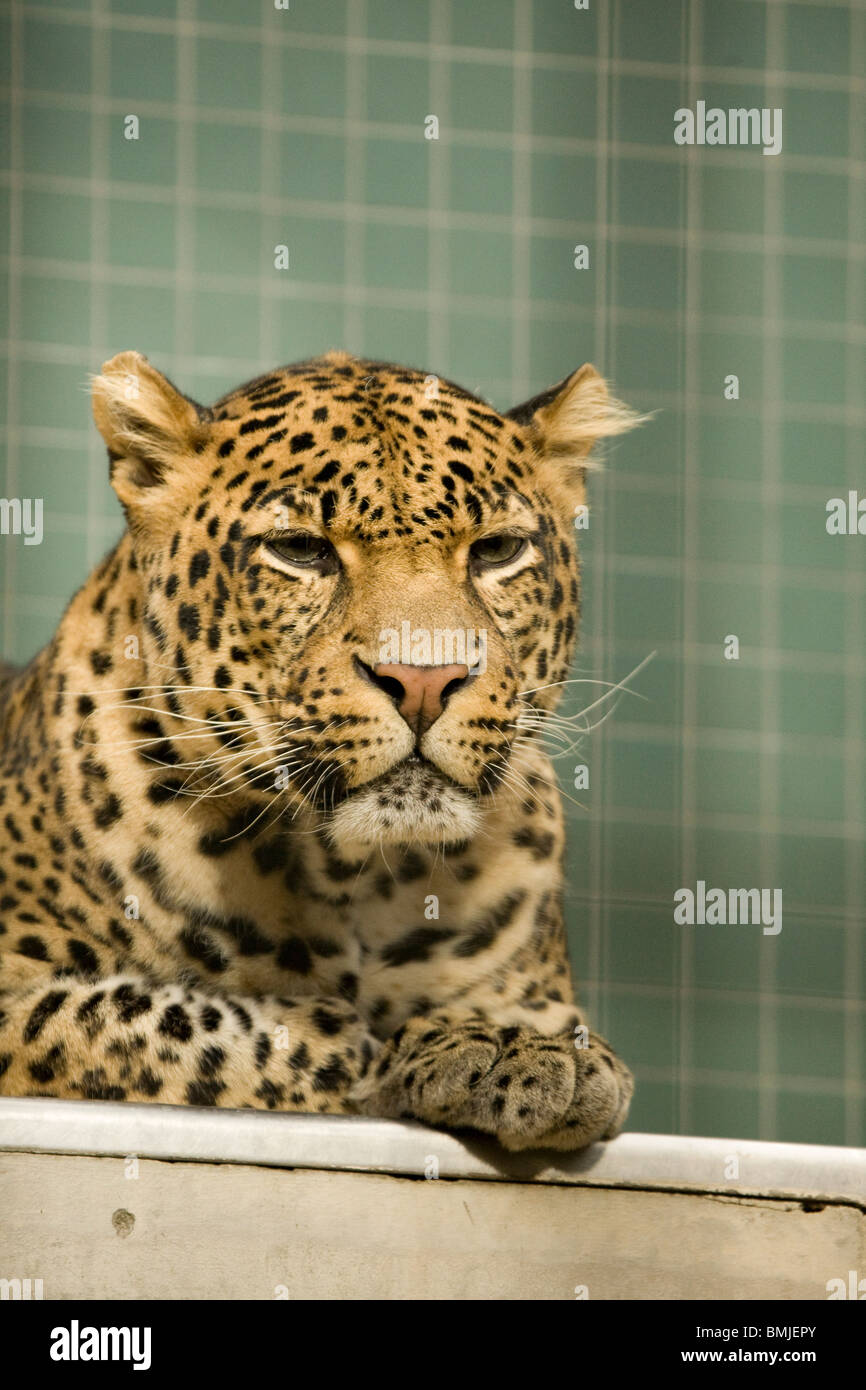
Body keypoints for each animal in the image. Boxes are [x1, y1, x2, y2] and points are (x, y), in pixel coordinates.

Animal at [0, 348, 643, 1152]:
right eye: (301, 551)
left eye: (497, 550)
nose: (424, 681)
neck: (352, 877)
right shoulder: (20, 996)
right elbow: (177, 1026)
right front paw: (381, 1045)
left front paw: (528, 1049)